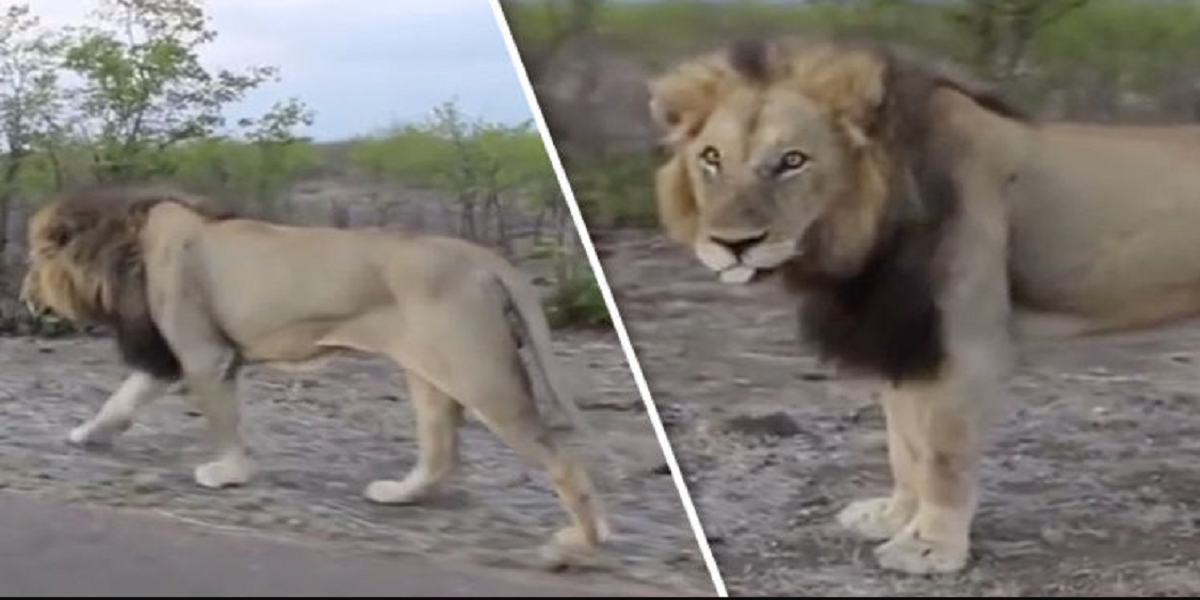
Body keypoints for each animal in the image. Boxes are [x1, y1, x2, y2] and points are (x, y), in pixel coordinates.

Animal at [19, 185, 609, 563]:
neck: (125, 247)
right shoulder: (170, 353)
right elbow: (120, 400)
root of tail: (478, 256)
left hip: (479, 372)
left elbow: (221, 420)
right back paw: (400, 493)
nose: (24, 295)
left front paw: (228, 473)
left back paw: (580, 542)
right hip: (429, 371)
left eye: (34, 261)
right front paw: (85, 435)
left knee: (559, 459)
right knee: (443, 451)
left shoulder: (203, 352)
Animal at [647, 35, 1200, 574]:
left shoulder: (962, 344)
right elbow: (905, 443)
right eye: (712, 158)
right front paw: (894, 518)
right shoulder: (904, 334)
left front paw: (931, 551)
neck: (869, 225)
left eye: (792, 160)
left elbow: (943, 457)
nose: (732, 244)